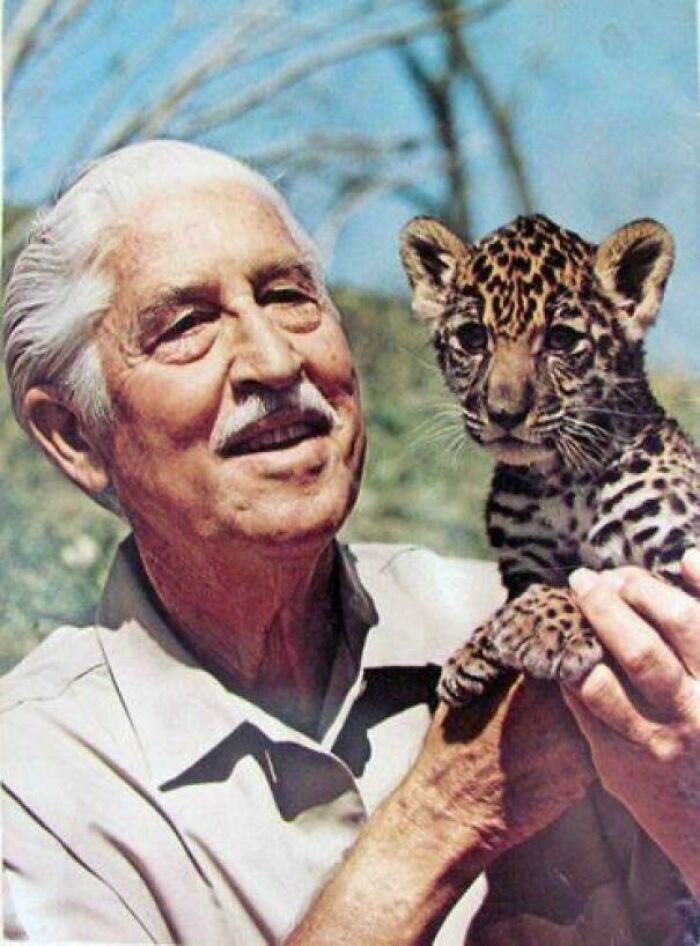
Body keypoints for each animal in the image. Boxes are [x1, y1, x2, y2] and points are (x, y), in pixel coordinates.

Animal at [399, 212, 699, 708]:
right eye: (472, 337)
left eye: (561, 339)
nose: (504, 413)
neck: (565, 478)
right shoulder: (524, 561)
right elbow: (534, 589)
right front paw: (474, 648)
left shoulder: (682, 548)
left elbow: (613, 580)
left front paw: (539, 626)